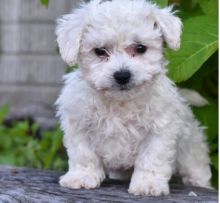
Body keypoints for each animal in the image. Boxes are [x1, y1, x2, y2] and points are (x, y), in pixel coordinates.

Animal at [55, 0, 211, 197]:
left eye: (140, 48)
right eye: (100, 51)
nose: (122, 75)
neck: (120, 102)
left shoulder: (159, 130)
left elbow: (151, 158)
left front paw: (148, 184)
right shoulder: (79, 124)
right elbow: (83, 154)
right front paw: (82, 177)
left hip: (192, 151)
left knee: (197, 171)